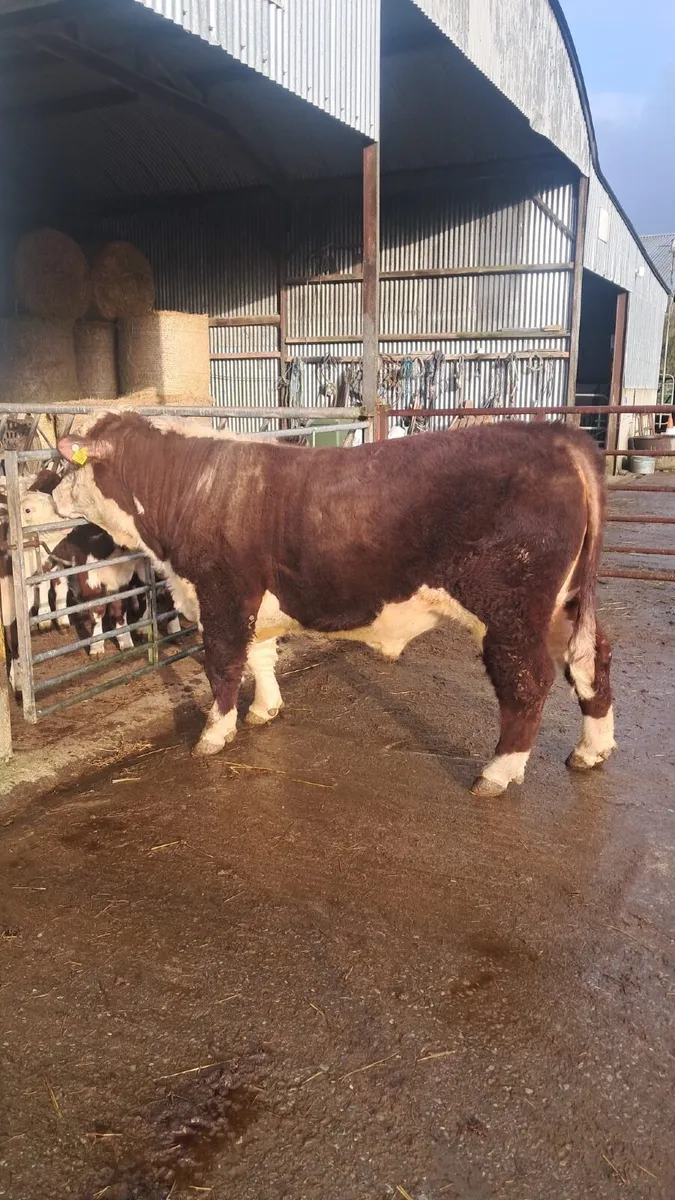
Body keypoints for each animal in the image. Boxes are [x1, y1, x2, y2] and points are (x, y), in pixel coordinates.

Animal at [53, 412, 615, 797]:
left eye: (62, 462)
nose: (54, 497)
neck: (195, 485)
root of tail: (554, 434)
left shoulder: (223, 595)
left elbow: (223, 665)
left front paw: (215, 732)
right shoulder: (253, 602)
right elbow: (260, 657)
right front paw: (264, 709)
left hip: (509, 610)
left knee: (529, 681)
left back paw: (498, 772)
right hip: (562, 606)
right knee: (592, 660)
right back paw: (592, 749)